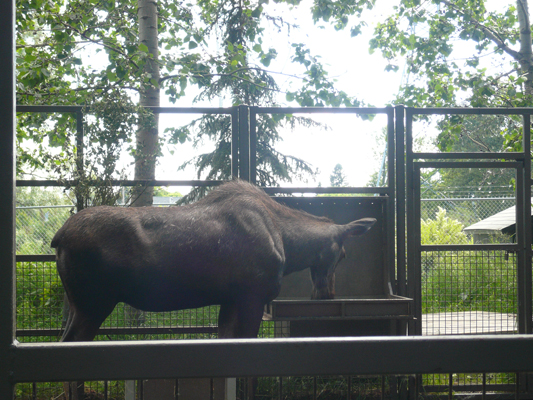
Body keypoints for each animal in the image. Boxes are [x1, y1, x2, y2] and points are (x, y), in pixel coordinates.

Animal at [51, 180, 374, 342]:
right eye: (343, 254)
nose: (327, 294)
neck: (287, 243)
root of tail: (58, 238)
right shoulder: (252, 296)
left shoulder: (230, 300)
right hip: (94, 302)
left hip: (79, 305)